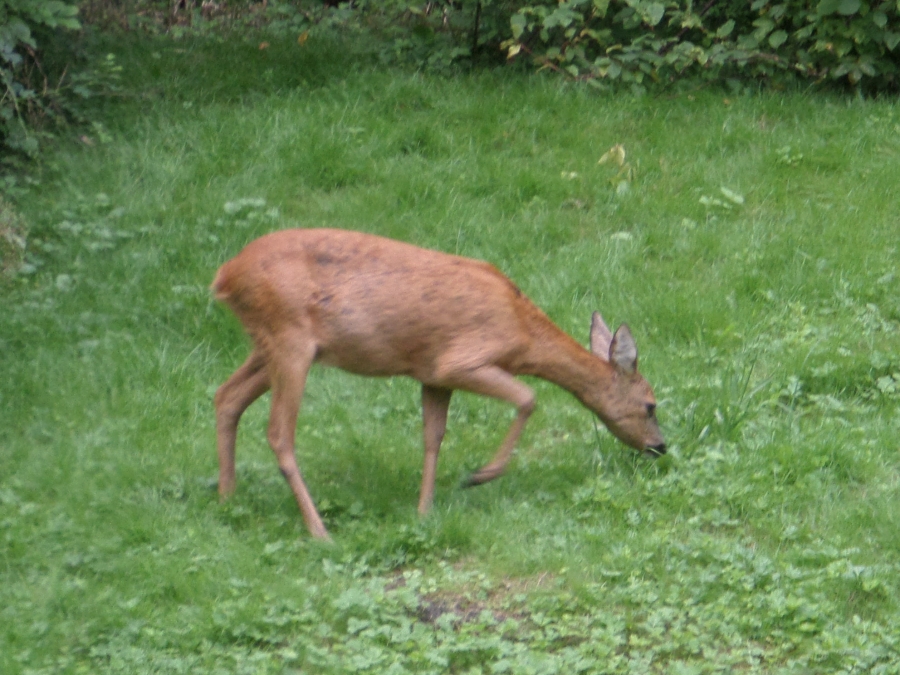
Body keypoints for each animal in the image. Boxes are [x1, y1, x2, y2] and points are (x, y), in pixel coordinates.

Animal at [211, 228, 665, 540]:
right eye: (650, 404)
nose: (660, 446)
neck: (523, 334)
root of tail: (225, 275)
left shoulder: (430, 374)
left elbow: (433, 437)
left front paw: (424, 511)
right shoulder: (460, 362)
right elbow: (528, 397)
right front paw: (480, 475)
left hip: (269, 344)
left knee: (226, 395)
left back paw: (227, 498)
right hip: (290, 339)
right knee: (278, 433)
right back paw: (319, 531)